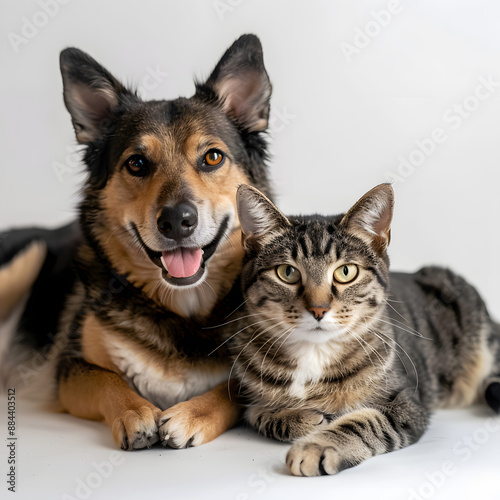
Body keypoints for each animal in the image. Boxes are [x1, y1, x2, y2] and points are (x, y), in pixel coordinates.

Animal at [0, 35, 274, 450]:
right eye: (137, 163)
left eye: (212, 157)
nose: (177, 221)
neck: (182, 307)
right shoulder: (70, 369)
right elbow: (108, 378)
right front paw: (135, 412)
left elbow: (232, 388)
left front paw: (191, 414)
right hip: (25, 260)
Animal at [227, 183, 500, 476]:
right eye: (287, 273)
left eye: (346, 272)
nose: (318, 309)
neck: (313, 355)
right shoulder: (246, 394)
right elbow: (255, 413)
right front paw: (298, 417)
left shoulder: (408, 403)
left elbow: (366, 422)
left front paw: (317, 445)